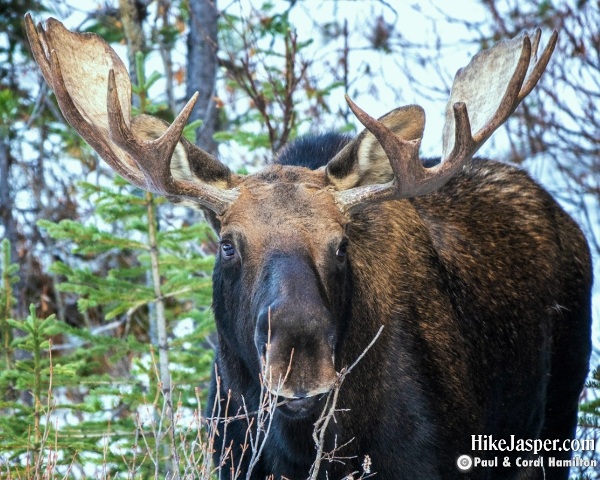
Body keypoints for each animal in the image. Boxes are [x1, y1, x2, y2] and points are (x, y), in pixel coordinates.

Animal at [25, 12, 592, 480]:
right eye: (228, 245)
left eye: (341, 244)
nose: (299, 364)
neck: (299, 446)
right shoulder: (232, 460)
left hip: (556, 419)